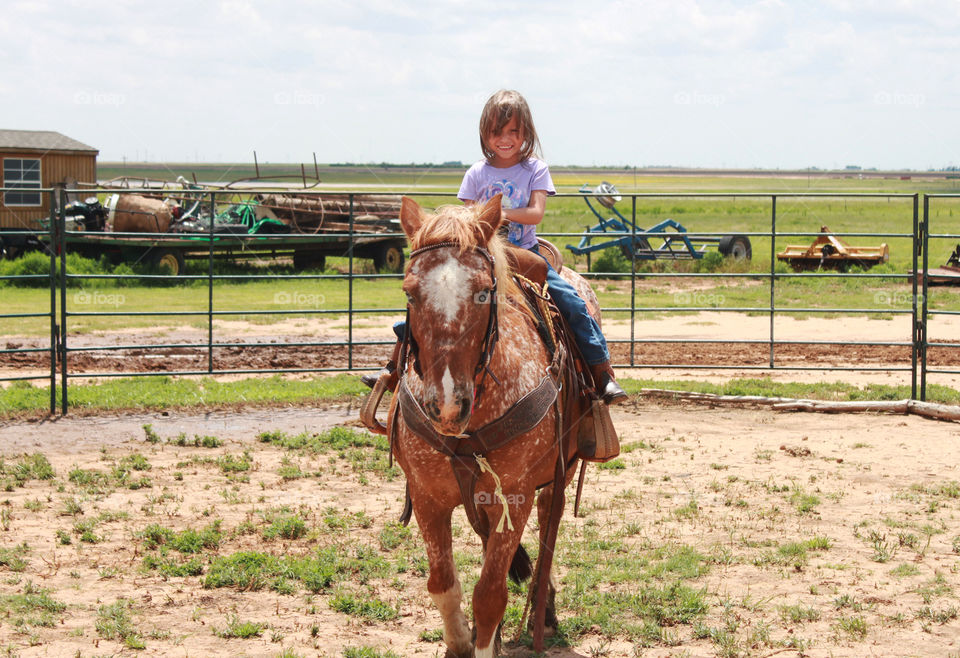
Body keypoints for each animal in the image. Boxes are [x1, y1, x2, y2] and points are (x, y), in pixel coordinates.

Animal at [386, 192, 588, 652]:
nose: (446, 405)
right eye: (410, 292)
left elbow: (490, 594)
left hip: (558, 474)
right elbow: (443, 584)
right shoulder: (426, 496)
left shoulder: (516, 494)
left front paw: (485, 640)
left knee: (549, 522)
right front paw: (464, 641)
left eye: (483, 293)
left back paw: (544, 610)